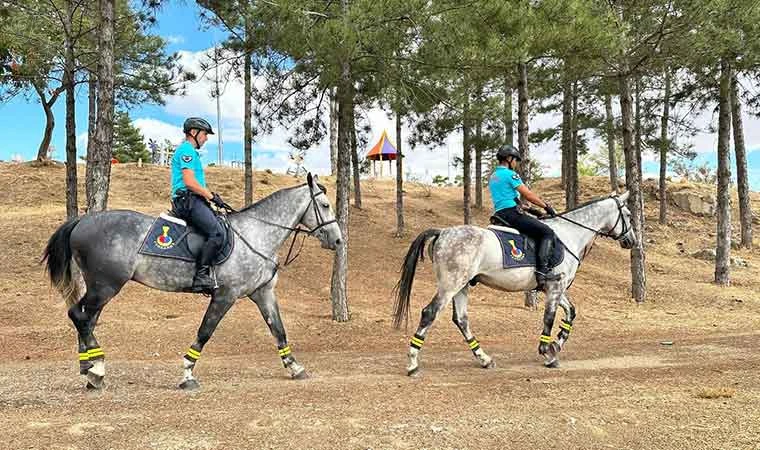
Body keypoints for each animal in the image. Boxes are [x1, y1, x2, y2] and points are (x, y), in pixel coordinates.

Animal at [40, 173, 338, 390]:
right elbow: (205, 332)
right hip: (105, 286)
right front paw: (187, 374)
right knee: (78, 315)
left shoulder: (263, 293)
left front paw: (295, 367)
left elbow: (279, 330)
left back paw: (90, 368)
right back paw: (97, 368)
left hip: (100, 287)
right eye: (324, 205)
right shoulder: (225, 295)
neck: (256, 233)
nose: (337, 240)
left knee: (85, 319)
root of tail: (82, 221)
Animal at [392, 192, 636, 374]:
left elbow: (570, 313)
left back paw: (484, 359)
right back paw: (412, 363)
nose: (631, 241)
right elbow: (549, 317)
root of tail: (443, 232)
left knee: (461, 320)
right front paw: (547, 352)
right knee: (429, 313)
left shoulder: (554, 288)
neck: (569, 234)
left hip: (461, 286)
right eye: (628, 214)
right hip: (451, 285)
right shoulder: (555, 287)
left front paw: (556, 344)